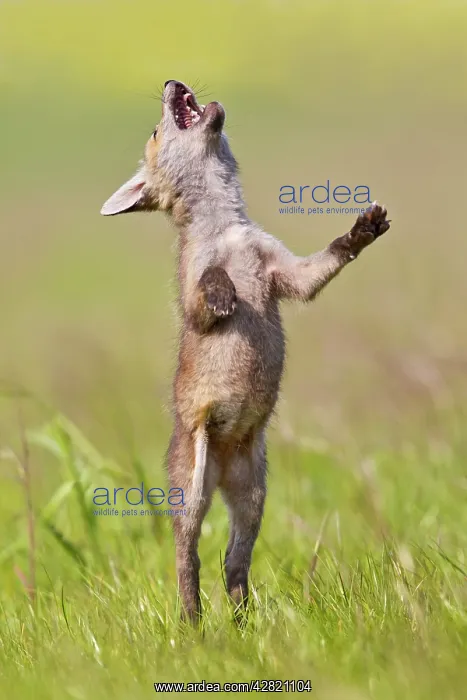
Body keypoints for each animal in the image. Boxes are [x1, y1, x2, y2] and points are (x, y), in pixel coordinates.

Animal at [101, 79, 390, 622]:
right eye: (156, 132)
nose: (171, 82)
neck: (228, 233)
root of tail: (222, 466)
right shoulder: (190, 299)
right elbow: (205, 291)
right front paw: (223, 291)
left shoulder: (288, 274)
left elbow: (326, 260)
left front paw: (363, 230)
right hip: (191, 489)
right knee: (186, 558)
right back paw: (194, 623)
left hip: (253, 497)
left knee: (233, 563)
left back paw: (242, 621)